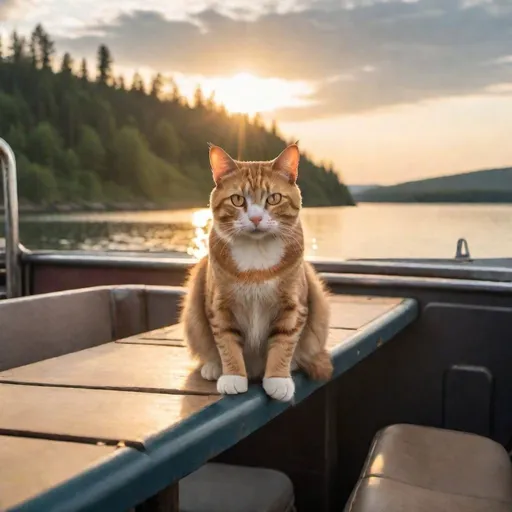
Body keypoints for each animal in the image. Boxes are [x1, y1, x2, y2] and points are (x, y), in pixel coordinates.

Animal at [182, 142, 334, 402]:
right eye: (237, 199)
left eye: (274, 198)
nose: (255, 218)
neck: (256, 259)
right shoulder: (220, 307)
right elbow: (226, 342)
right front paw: (233, 376)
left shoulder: (292, 307)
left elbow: (284, 343)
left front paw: (278, 379)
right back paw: (213, 366)